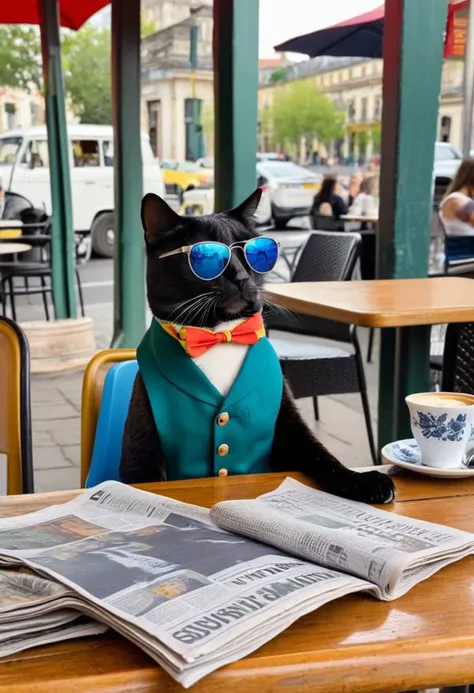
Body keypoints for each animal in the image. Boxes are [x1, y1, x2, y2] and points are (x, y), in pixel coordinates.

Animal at [120, 189, 394, 502]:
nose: (241, 277)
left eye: (251, 252)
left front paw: (363, 481)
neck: (220, 335)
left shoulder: (289, 424)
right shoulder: (142, 447)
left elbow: (322, 456)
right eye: (206, 257)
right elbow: (144, 480)